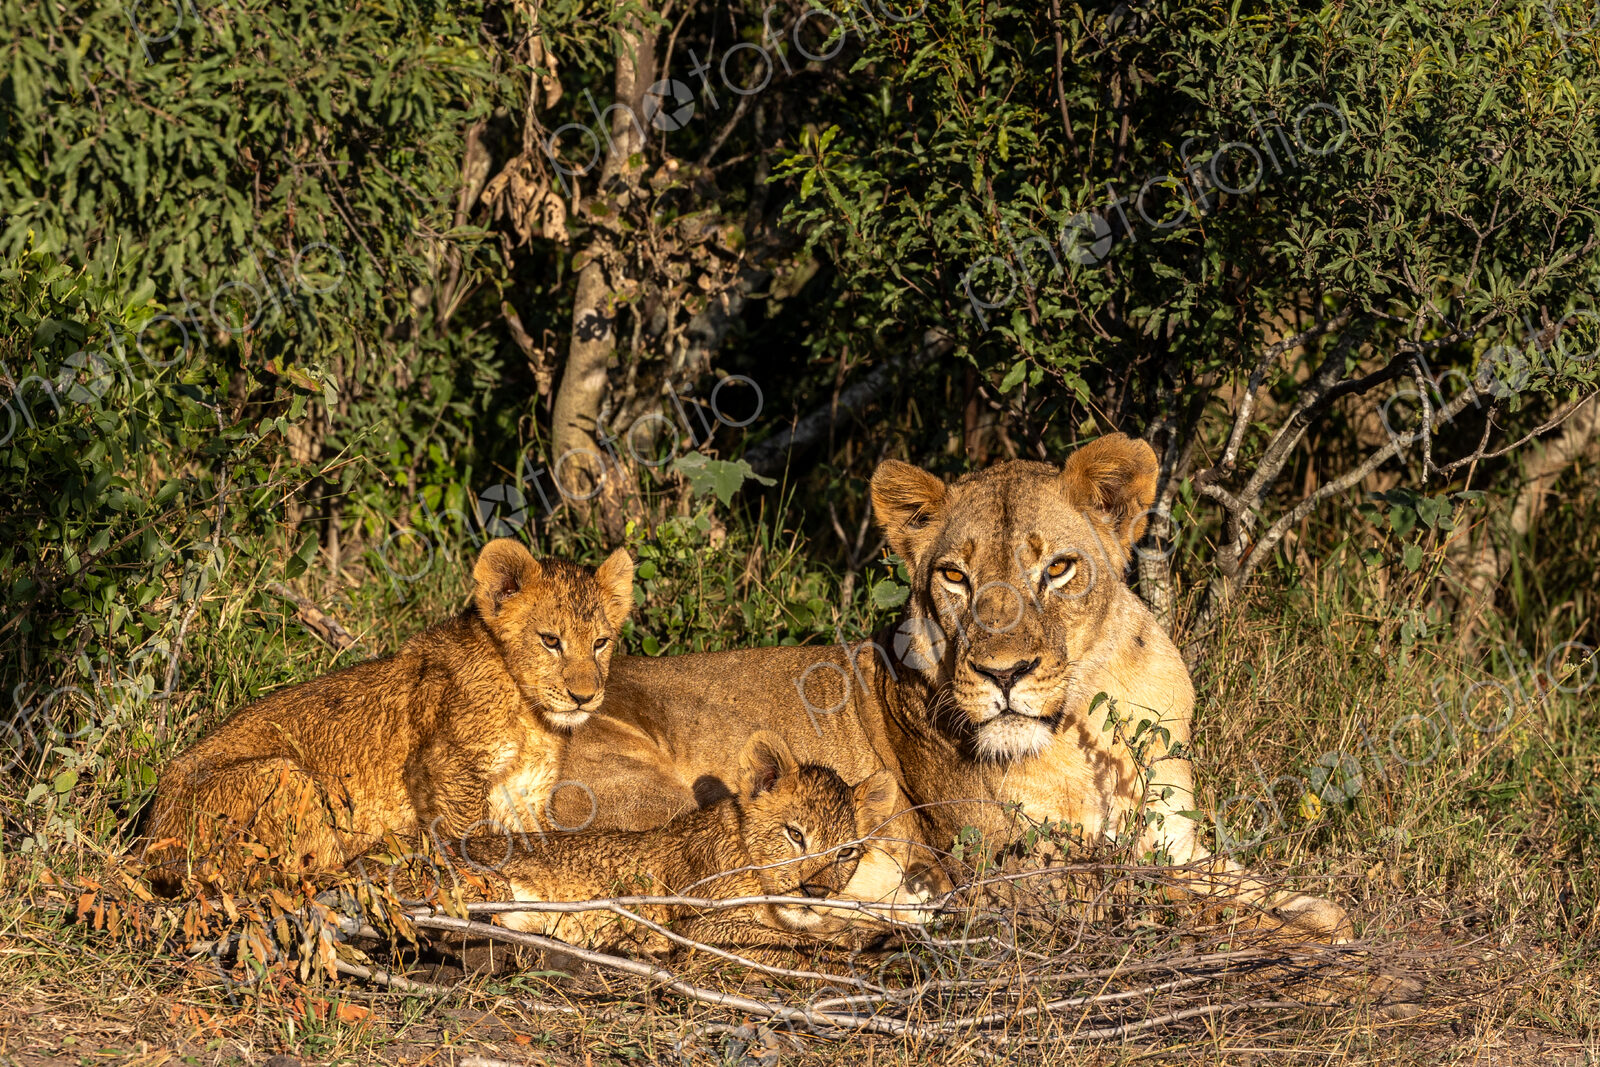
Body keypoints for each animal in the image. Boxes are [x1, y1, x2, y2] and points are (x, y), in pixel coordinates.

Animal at [142, 538, 634, 889]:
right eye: (551, 640)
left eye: (600, 643)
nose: (584, 696)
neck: (531, 714)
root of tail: (149, 843)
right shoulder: (446, 765)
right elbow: (469, 835)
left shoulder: (526, 792)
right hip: (284, 775)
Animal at [357, 731, 913, 963]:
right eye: (795, 834)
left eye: (846, 853)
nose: (815, 893)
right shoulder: (700, 923)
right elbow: (794, 941)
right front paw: (867, 943)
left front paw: (876, 932)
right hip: (479, 883)